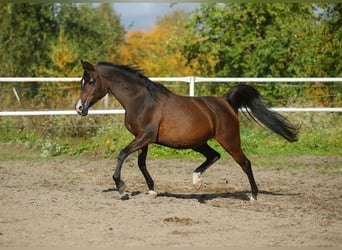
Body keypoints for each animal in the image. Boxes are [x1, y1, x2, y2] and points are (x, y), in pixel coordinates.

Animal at [75, 61, 300, 201]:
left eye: (92, 81)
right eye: (82, 82)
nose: (79, 108)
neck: (142, 100)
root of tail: (226, 101)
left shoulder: (145, 136)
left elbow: (122, 154)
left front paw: (121, 188)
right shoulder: (143, 138)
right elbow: (141, 163)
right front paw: (152, 190)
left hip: (229, 140)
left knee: (245, 163)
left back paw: (253, 195)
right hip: (199, 143)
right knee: (214, 156)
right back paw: (197, 181)